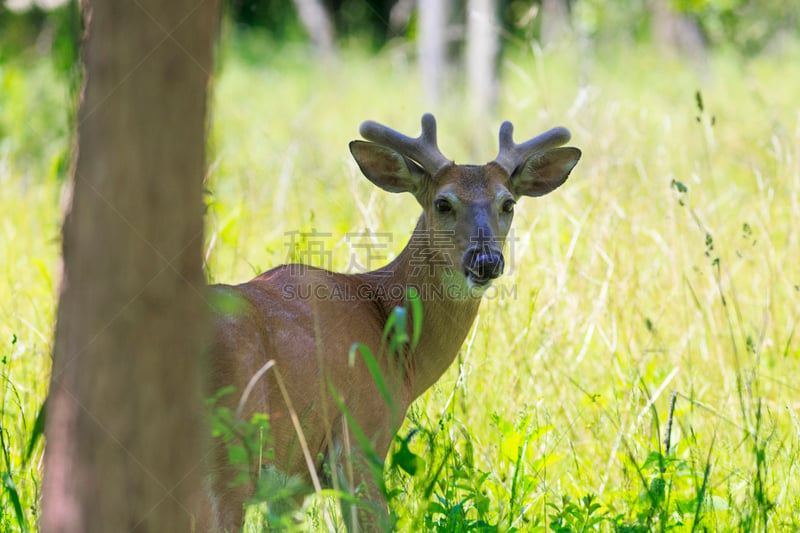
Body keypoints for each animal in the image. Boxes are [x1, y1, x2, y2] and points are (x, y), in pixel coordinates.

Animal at [203, 114, 580, 528]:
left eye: (508, 203)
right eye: (443, 203)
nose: (486, 260)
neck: (386, 321)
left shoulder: (292, 486)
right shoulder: (361, 438)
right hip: (228, 458)